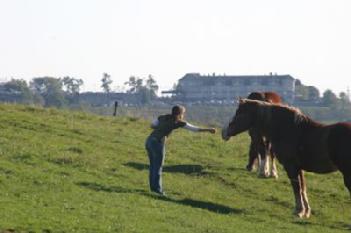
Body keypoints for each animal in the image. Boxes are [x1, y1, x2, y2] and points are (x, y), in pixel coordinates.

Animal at [223, 99, 351, 219]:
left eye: (239, 113)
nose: (225, 133)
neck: (289, 129)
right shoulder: (299, 168)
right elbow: (302, 188)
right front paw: (306, 212)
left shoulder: (291, 167)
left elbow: (296, 188)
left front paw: (299, 211)